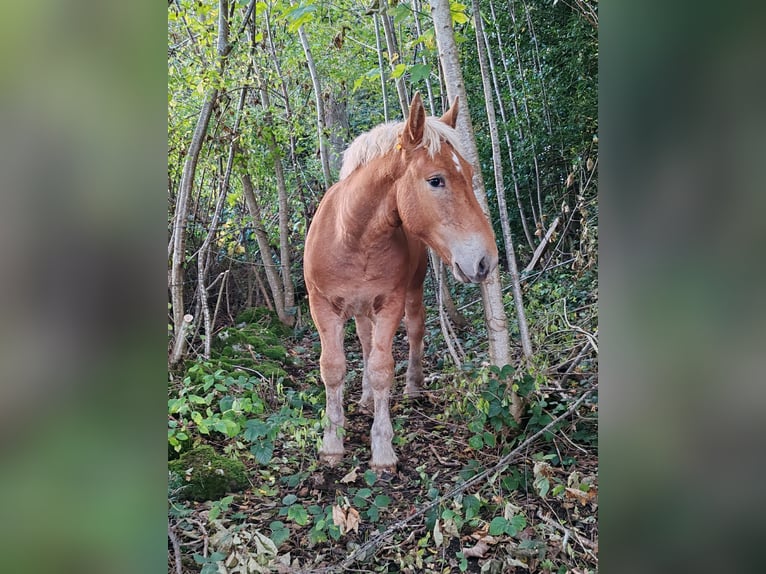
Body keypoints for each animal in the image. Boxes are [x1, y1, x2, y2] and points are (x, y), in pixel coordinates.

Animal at [304, 94, 500, 472]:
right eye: (436, 180)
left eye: (470, 174)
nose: (486, 260)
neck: (352, 237)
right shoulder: (322, 307)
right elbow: (333, 368)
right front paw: (332, 444)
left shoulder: (390, 304)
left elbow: (383, 368)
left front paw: (382, 450)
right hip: (360, 310)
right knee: (365, 343)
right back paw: (366, 398)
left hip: (411, 295)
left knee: (415, 332)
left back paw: (412, 387)